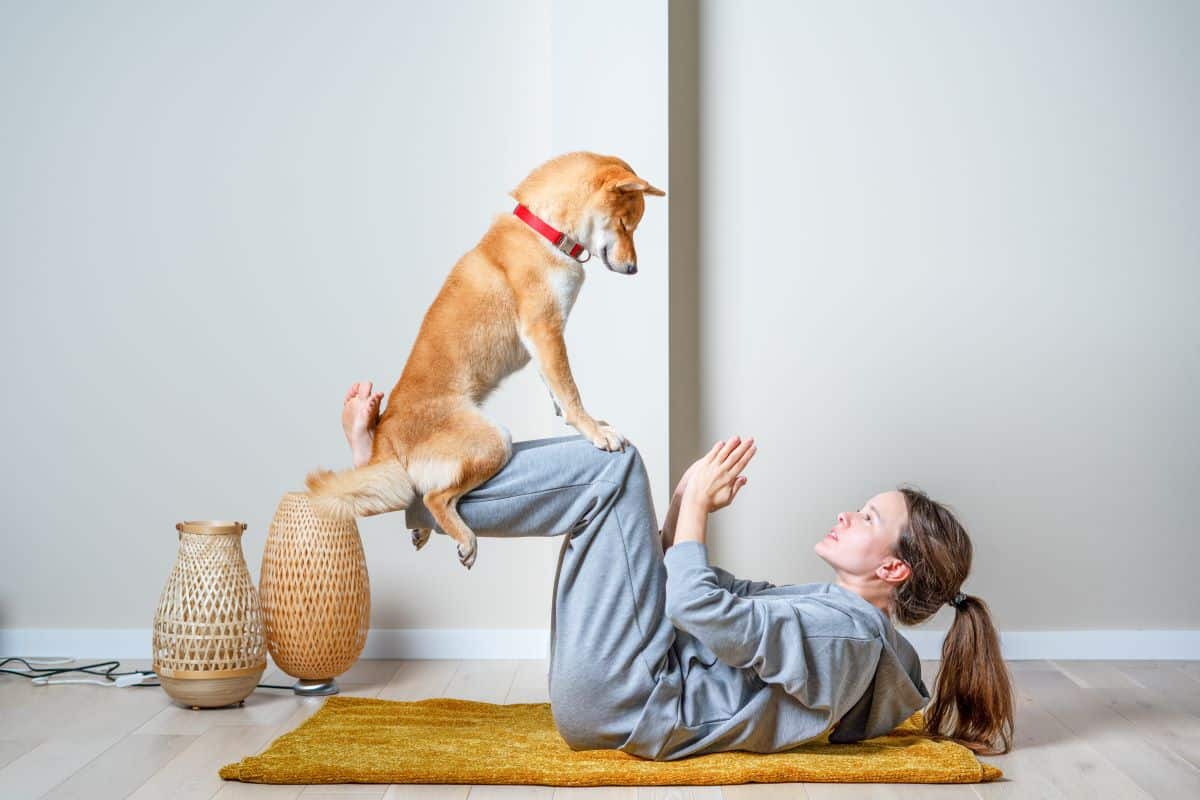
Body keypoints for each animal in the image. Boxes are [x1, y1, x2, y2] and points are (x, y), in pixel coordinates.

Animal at [302, 153, 667, 568]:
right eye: (625, 224)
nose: (634, 269)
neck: (545, 232)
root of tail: (385, 437)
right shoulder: (544, 329)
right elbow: (570, 391)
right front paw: (594, 431)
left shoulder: (545, 341)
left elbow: (557, 390)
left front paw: (584, 421)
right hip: (495, 441)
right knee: (434, 496)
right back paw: (464, 538)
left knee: (420, 492)